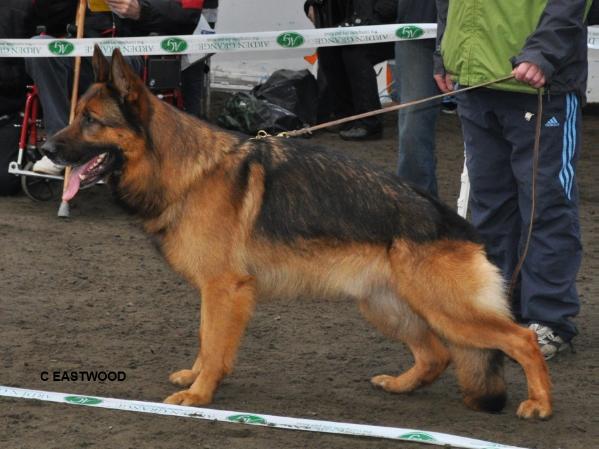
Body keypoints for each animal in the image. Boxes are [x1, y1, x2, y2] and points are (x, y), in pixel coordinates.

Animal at [42, 47, 552, 418]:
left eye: (91, 121)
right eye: (77, 114)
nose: (45, 147)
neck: (185, 170)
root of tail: (456, 223)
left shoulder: (223, 290)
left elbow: (213, 343)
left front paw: (201, 394)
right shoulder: (215, 292)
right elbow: (206, 341)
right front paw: (197, 378)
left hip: (445, 309)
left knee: (520, 339)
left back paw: (540, 403)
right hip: (388, 306)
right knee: (437, 356)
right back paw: (401, 385)